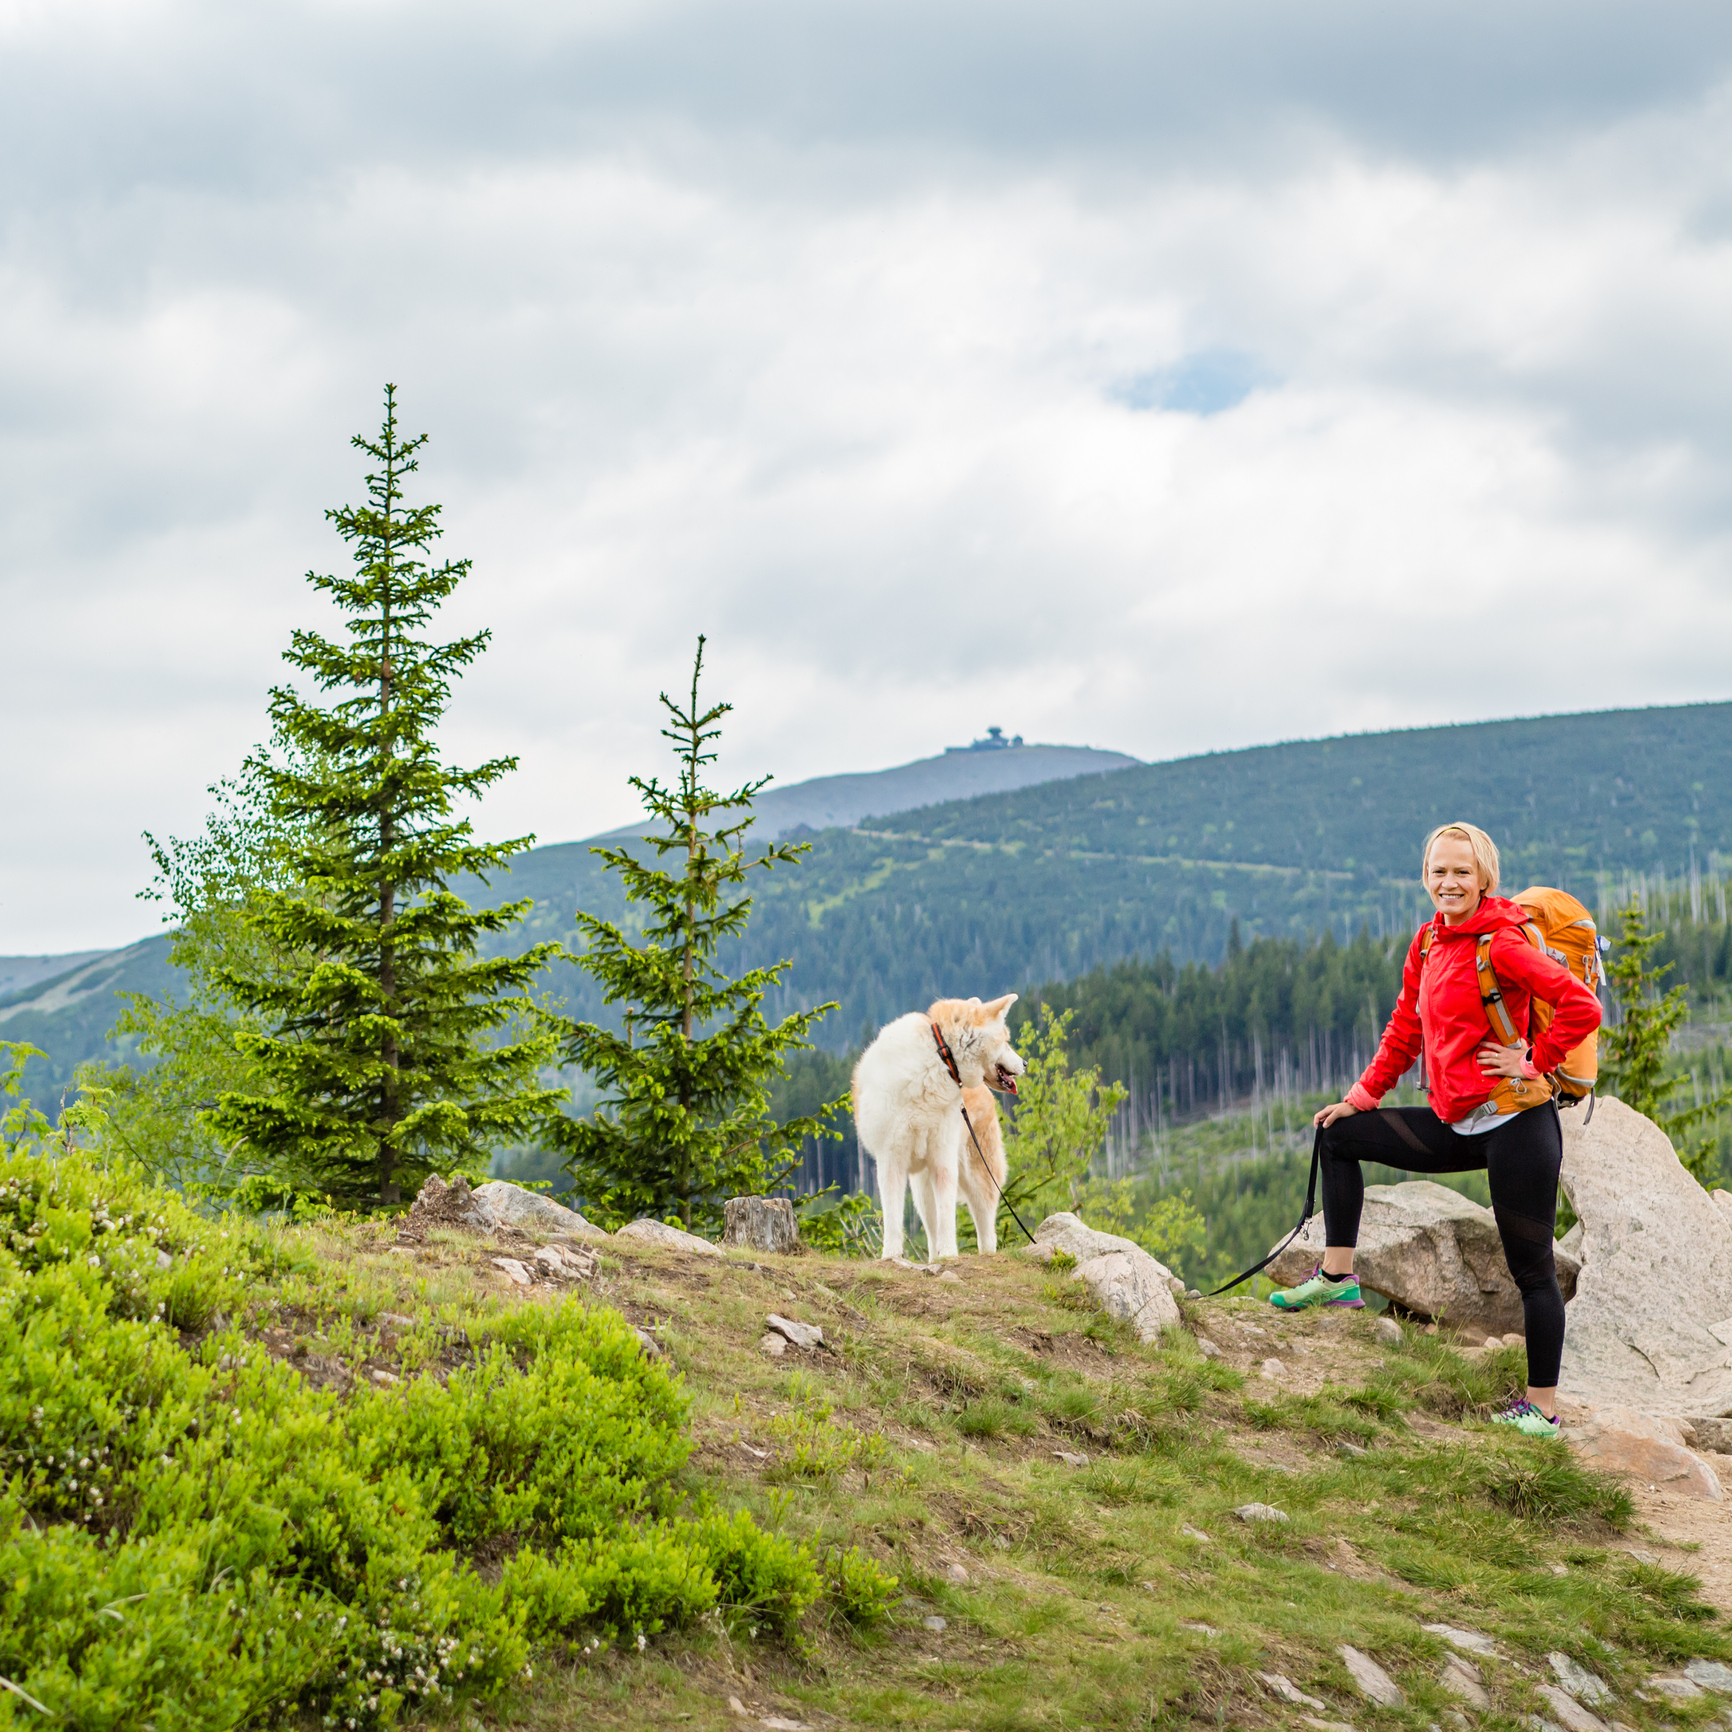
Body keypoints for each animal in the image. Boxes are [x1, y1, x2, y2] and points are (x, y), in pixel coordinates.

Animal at [855, 997, 1025, 1267]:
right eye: (1006, 1040)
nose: (1025, 1063)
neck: (939, 1058)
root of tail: (985, 1092)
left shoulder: (943, 1158)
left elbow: (947, 1213)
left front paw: (949, 1254)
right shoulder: (891, 1160)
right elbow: (893, 1215)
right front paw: (891, 1255)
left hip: (977, 1174)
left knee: (986, 1226)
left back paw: (982, 1254)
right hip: (921, 1189)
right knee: (931, 1226)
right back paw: (933, 1259)